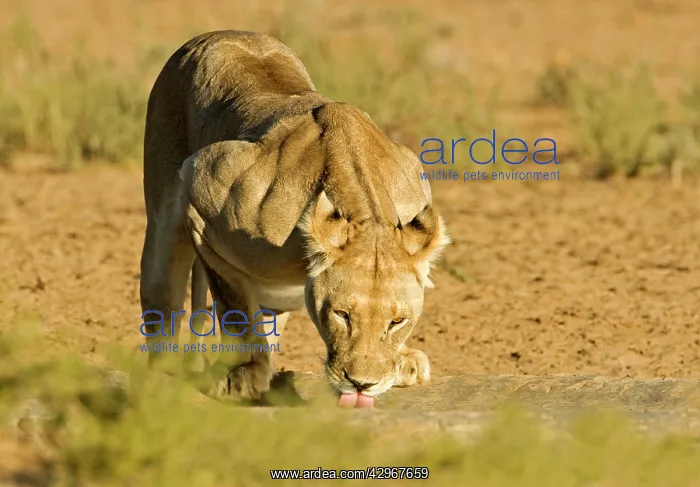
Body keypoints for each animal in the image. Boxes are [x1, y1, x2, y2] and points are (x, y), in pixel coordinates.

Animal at [139, 30, 450, 407]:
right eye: (342, 315)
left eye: (398, 321)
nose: (362, 384)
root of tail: (219, 34)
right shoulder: (201, 187)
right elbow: (234, 305)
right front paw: (243, 374)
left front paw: (403, 362)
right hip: (163, 220)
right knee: (163, 296)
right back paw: (167, 372)